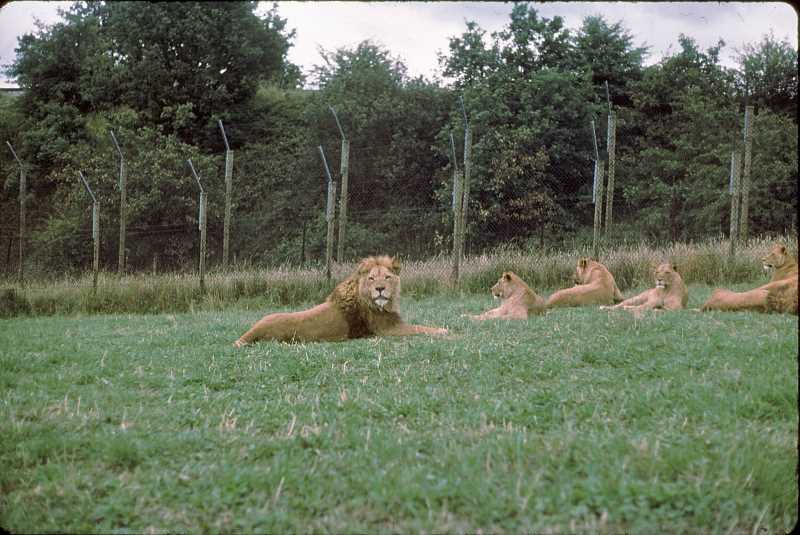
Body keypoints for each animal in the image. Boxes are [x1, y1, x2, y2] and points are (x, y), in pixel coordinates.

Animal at [233, 256, 448, 346]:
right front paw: (445, 331)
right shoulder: (388, 330)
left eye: (387, 277)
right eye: (372, 279)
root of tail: (251, 332)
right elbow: (422, 328)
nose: (380, 289)